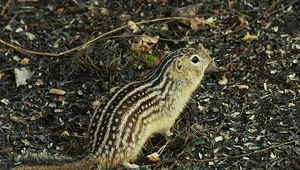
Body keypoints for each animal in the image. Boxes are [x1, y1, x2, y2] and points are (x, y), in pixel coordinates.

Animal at [12, 44, 218, 169]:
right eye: (195, 59)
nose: (209, 58)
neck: (169, 83)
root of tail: (98, 151)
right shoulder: (170, 112)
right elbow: (166, 129)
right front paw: (172, 134)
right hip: (133, 144)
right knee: (119, 161)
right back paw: (133, 165)